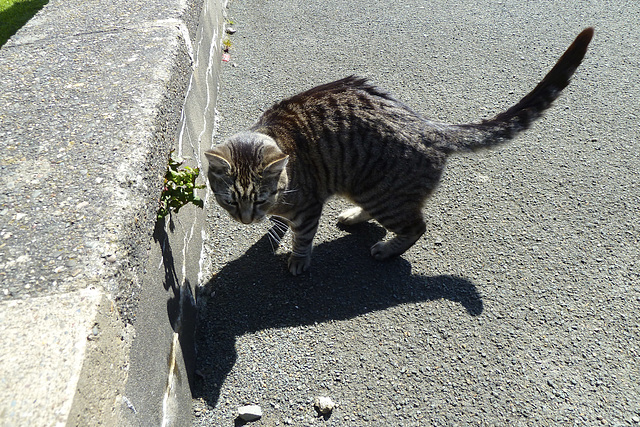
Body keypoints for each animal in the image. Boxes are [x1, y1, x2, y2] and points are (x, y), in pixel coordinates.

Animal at [206, 28, 596, 276]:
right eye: (229, 200)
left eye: (258, 199)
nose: (246, 219)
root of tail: (428, 127)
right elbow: (281, 226)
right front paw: (274, 230)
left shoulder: (308, 205)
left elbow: (303, 236)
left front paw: (297, 257)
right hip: (368, 187)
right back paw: (354, 216)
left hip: (383, 195)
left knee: (417, 226)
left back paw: (387, 248)